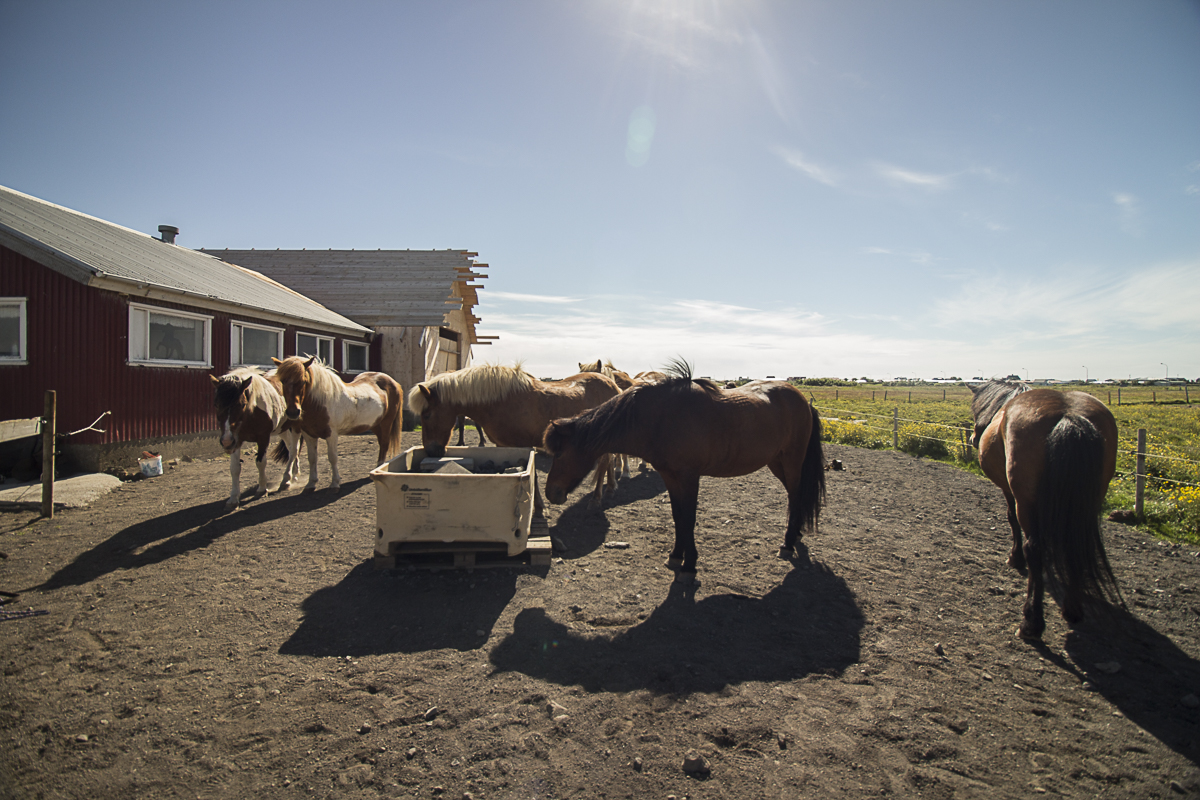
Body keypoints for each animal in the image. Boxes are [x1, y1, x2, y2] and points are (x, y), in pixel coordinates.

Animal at [210, 367, 300, 511]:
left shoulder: (263, 438)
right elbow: (235, 468)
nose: (226, 442)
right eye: (216, 404)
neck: (251, 412)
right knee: (290, 447)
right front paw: (233, 499)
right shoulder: (236, 440)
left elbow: (260, 462)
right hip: (283, 429)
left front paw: (262, 490)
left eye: (241, 404)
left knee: (293, 450)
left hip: (294, 427)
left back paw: (286, 480)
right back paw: (294, 475)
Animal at [270, 355, 404, 491]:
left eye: (303, 381)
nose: (293, 412)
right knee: (381, 443)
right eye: (282, 381)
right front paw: (311, 483)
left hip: (386, 423)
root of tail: (393, 382)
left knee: (384, 444)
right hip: (375, 425)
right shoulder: (309, 435)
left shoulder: (331, 434)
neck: (320, 402)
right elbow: (312, 458)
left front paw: (335, 483)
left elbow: (332, 457)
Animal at [408, 363, 621, 508]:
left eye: (427, 415)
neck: (500, 402)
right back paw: (611, 487)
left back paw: (596, 498)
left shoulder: (524, 446)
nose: (431, 450)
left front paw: (539, 506)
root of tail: (613, 385)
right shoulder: (504, 446)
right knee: (609, 461)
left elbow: (532, 474)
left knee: (604, 463)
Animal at [543, 359, 826, 581]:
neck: (660, 417)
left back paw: (787, 543)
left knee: (796, 495)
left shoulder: (690, 477)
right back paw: (795, 535)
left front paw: (689, 565)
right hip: (776, 462)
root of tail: (802, 399)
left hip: (791, 461)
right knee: (795, 496)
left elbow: (688, 519)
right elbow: (678, 517)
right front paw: (675, 556)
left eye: (560, 453)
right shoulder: (671, 477)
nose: (551, 493)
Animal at [969, 379, 1123, 639]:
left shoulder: (1011, 492)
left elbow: (1011, 520)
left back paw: (1031, 621)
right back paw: (1072, 609)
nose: (972, 437)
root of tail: (1069, 415)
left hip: (1026, 500)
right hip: (1089, 499)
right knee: (1075, 543)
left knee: (1034, 548)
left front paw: (1015, 558)